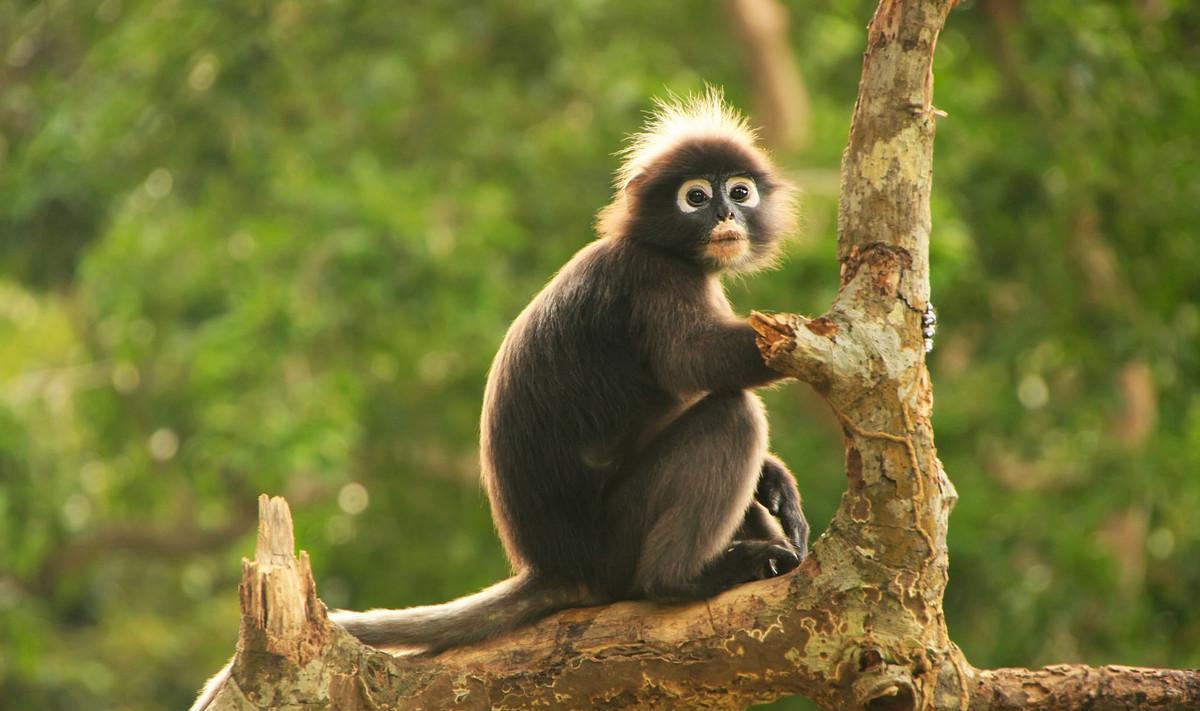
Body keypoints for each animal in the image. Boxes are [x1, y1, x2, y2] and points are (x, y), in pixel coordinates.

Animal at [189, 88, 806, 711]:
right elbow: (698, 362)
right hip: (618, 536)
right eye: (696, 197)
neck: (659, 248)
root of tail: (557, 566)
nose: (726, 216)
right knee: (732, 416)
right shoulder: (653, 280)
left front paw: (775, 478)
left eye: (739, 192)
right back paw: (684, 578)